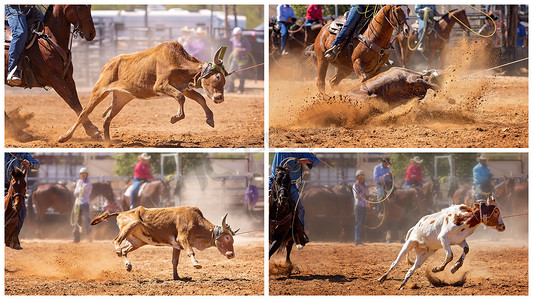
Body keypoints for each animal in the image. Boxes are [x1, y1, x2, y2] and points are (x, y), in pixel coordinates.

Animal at [3, 4, 101, 140]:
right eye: (80, 7)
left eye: (90, 6)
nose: (91, 33)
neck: (48, 41)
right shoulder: (55, 79)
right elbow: (73, 103)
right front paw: (92, 130)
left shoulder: (68, 78)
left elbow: (78, 103)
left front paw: (91, 129)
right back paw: (17, 132)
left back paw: (20, 132)